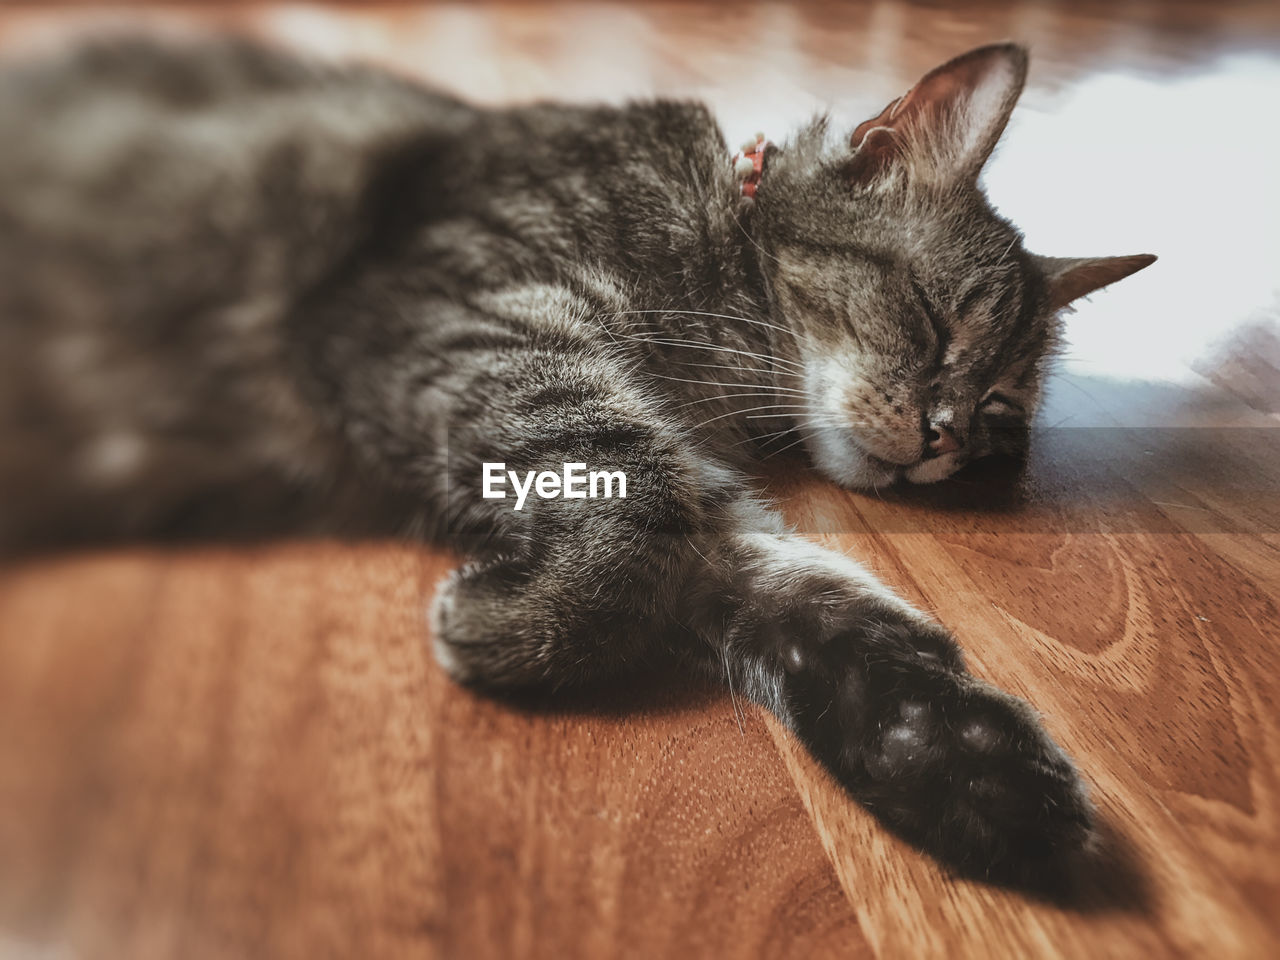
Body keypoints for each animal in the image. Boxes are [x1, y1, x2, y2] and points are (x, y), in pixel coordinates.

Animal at [0, 39, 1162, 896]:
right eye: (934, 321)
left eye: (996, 411)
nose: (940, 439)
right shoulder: (465, 322)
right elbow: (634, 504)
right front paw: (510, 624)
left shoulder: (697, 489)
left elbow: (825, 603)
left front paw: (965, 763)